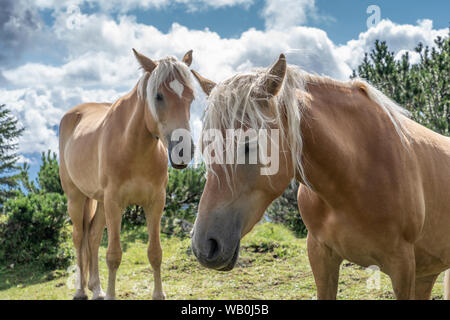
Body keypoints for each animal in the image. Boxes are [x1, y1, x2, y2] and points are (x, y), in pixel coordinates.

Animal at [59, 48, 194, 298]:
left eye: (191, 95)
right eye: (158, 96)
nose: (183, 150)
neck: (132, 146)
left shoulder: (155, 202)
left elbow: (155, 252)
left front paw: (158, 294)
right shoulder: (115, 203)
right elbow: (113, 255)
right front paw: (112, 294)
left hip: (100, 202)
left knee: (92, 237)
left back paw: (97, 289)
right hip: (77, 198)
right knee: (79, 237)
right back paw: (81, 291)